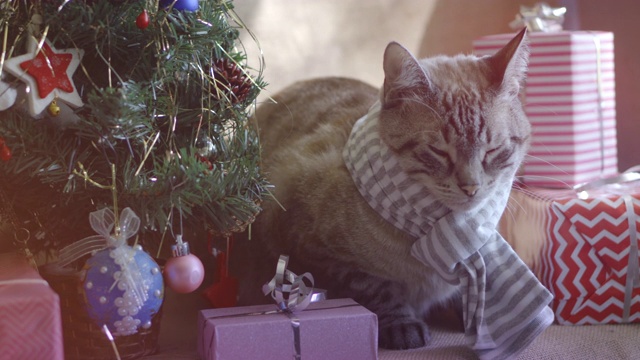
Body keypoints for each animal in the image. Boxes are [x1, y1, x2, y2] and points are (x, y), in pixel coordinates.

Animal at [235, 29, 528, 350]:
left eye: (494, 150)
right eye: (439, 152)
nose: (471, 187)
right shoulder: (310, 245)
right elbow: (375, 288)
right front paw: (402, 325)